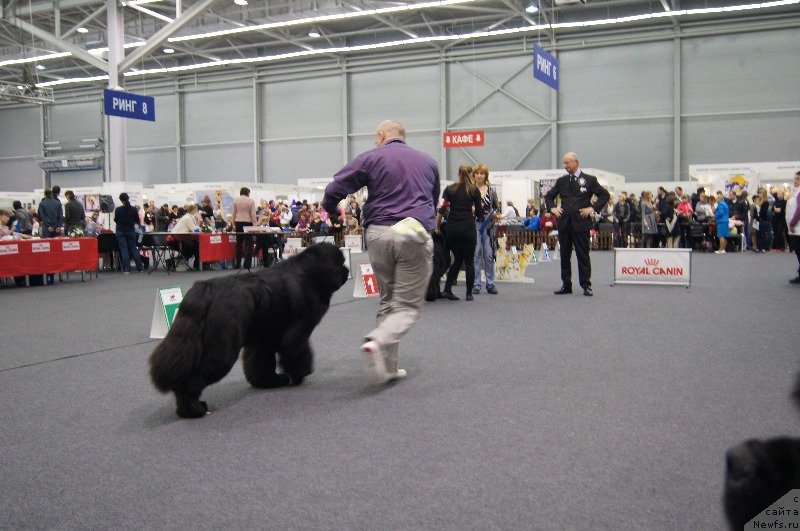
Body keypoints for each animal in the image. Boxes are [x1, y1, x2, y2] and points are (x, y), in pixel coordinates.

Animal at [148, 242, 348, 420]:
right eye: (340, 263)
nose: (346, 271)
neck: (311, 275)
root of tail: (205, 290)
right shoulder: (298, 331)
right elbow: (298, 352)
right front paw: (299, 375)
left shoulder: (264, 338)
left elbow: (261, 363)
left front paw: (270, 381)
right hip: (221, 348)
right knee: (194, 379)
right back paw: (195, 409)